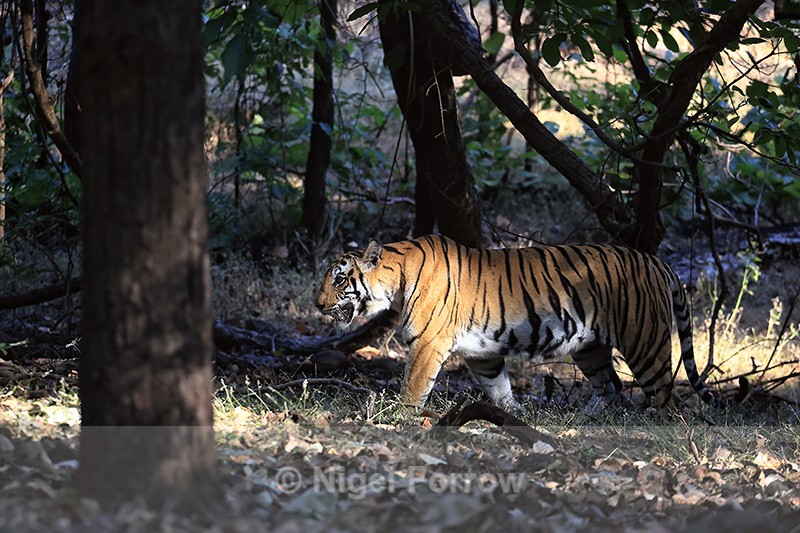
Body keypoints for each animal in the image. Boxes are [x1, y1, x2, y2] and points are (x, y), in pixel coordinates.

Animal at [314, 234, 748, 412]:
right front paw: (513, 415)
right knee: (612, 388)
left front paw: (400, 416)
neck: (396, 280)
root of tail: (658, 261)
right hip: (590, 349)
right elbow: (499, 388)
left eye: (338, 279)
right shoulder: (482, 354)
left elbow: (413, 386)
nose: (317, 305)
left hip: (645, 343)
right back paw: (586, 419)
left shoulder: (428, 344)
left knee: (668, 398)